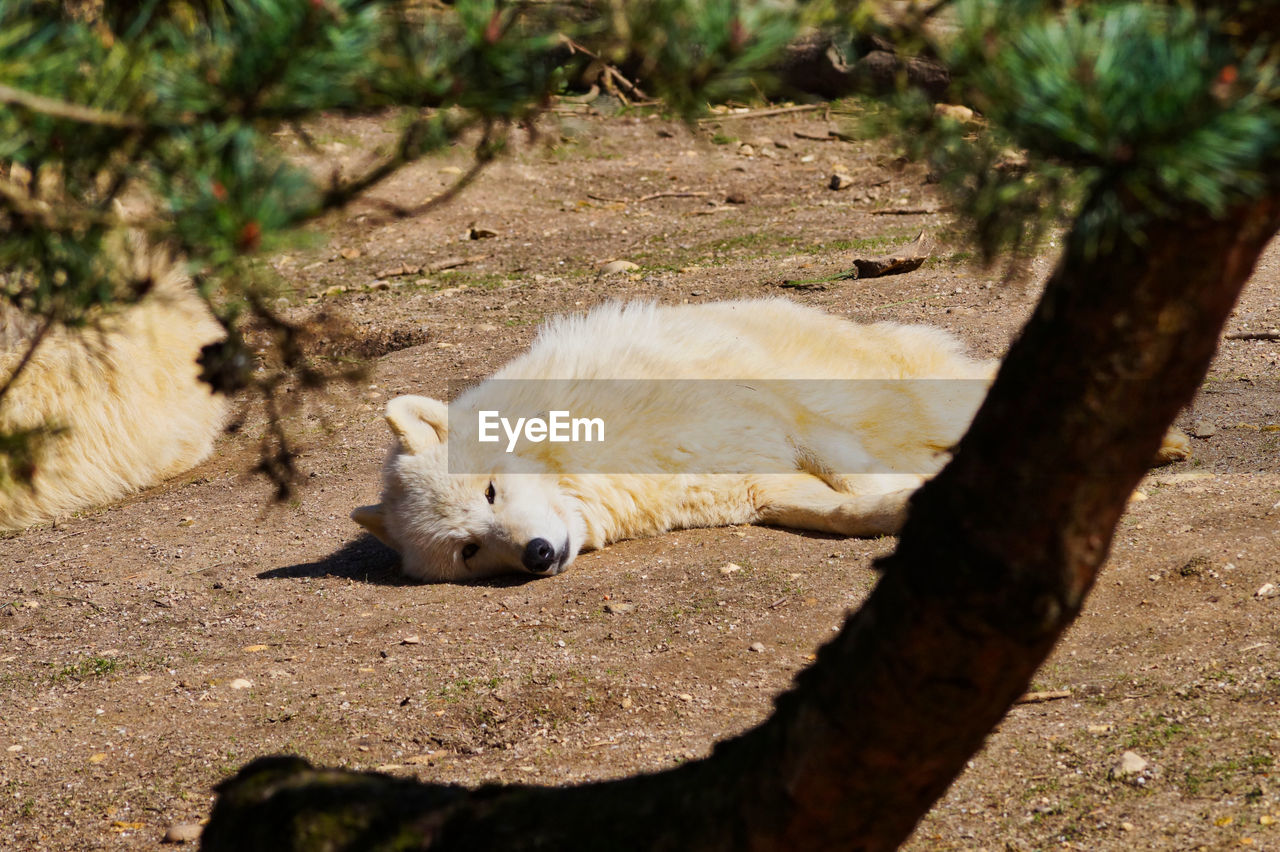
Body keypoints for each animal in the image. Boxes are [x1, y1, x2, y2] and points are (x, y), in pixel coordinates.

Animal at [353, 295, 1187, 580]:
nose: (534, 555)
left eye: (493, 489)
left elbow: (846, 467)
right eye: (468, 550)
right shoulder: (751, 488)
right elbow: (841, 509)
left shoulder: (781, 413)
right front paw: (906, 507)